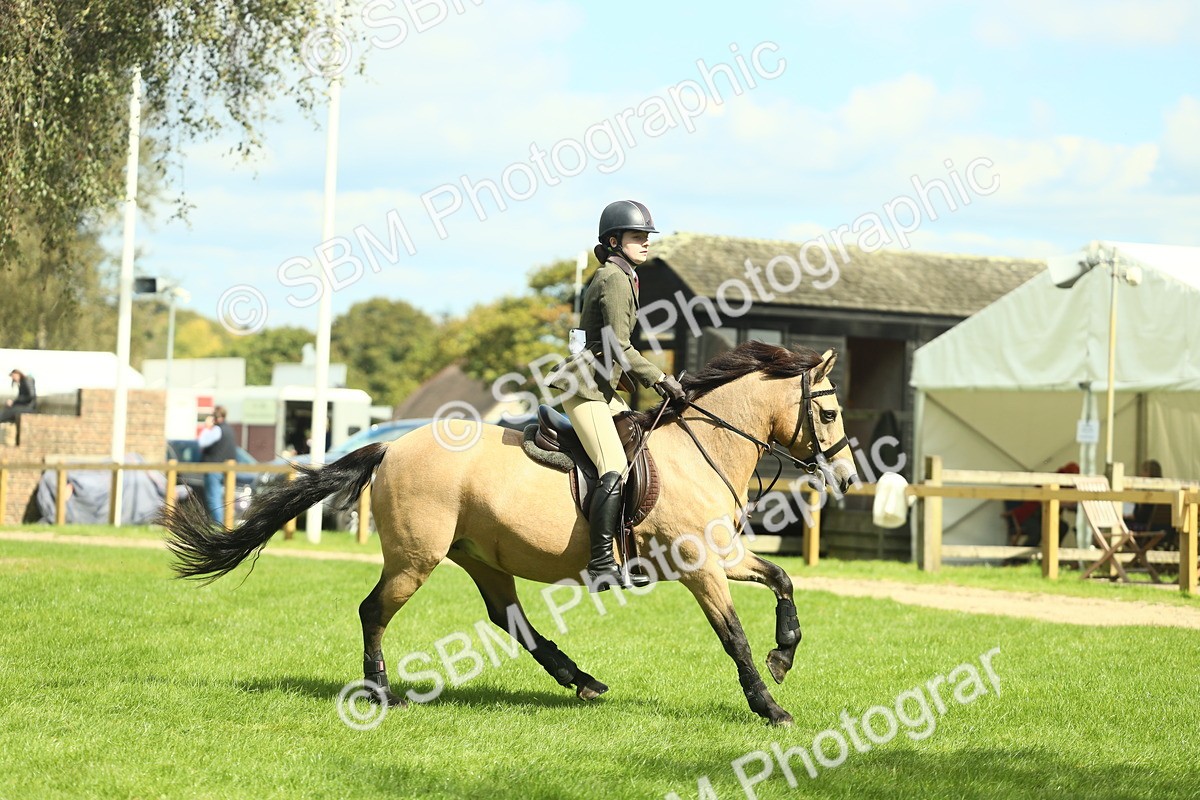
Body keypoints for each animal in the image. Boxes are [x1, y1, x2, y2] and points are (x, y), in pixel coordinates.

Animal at [160, 341, 857, 725]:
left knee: (507, 618)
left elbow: (783, 578)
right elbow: (732, 635)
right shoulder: (699, 565)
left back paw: (580, 679)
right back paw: (382, 692)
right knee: (374, 610)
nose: (849, 476)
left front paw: (784, 654)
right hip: (417, 558)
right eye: (827, 411)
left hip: (482, 557)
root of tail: (391, 448)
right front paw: (769, 706)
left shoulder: (721, 555)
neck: (699, 449)